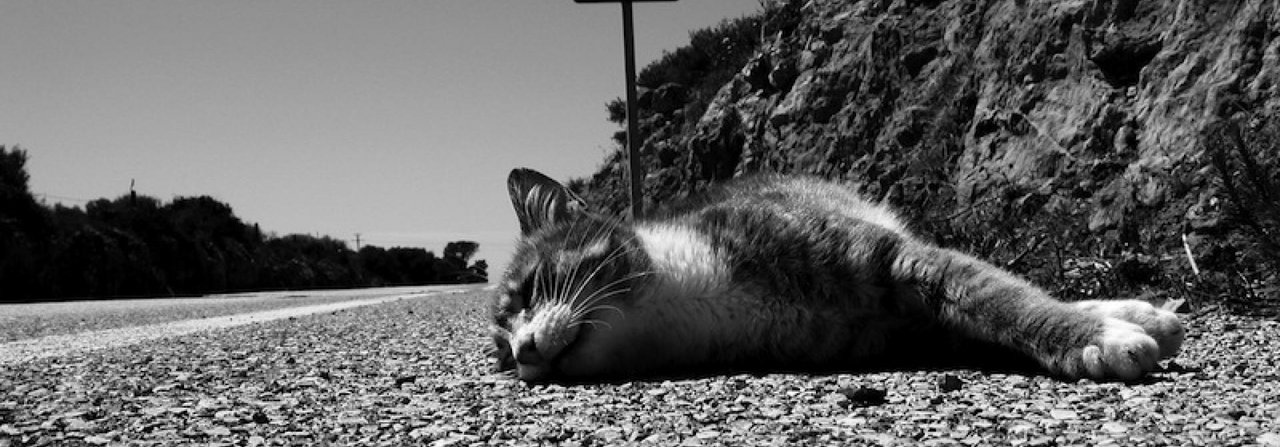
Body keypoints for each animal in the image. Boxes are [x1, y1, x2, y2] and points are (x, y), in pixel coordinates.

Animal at [486, 167, 1177, 384]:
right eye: (501, 352)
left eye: (530, 291)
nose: (525, 351)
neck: (689, 297)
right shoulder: (896, 331)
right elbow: (988, 306)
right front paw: (1100, 326)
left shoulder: (895, 257)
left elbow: (997, 295)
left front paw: (1092, 338)